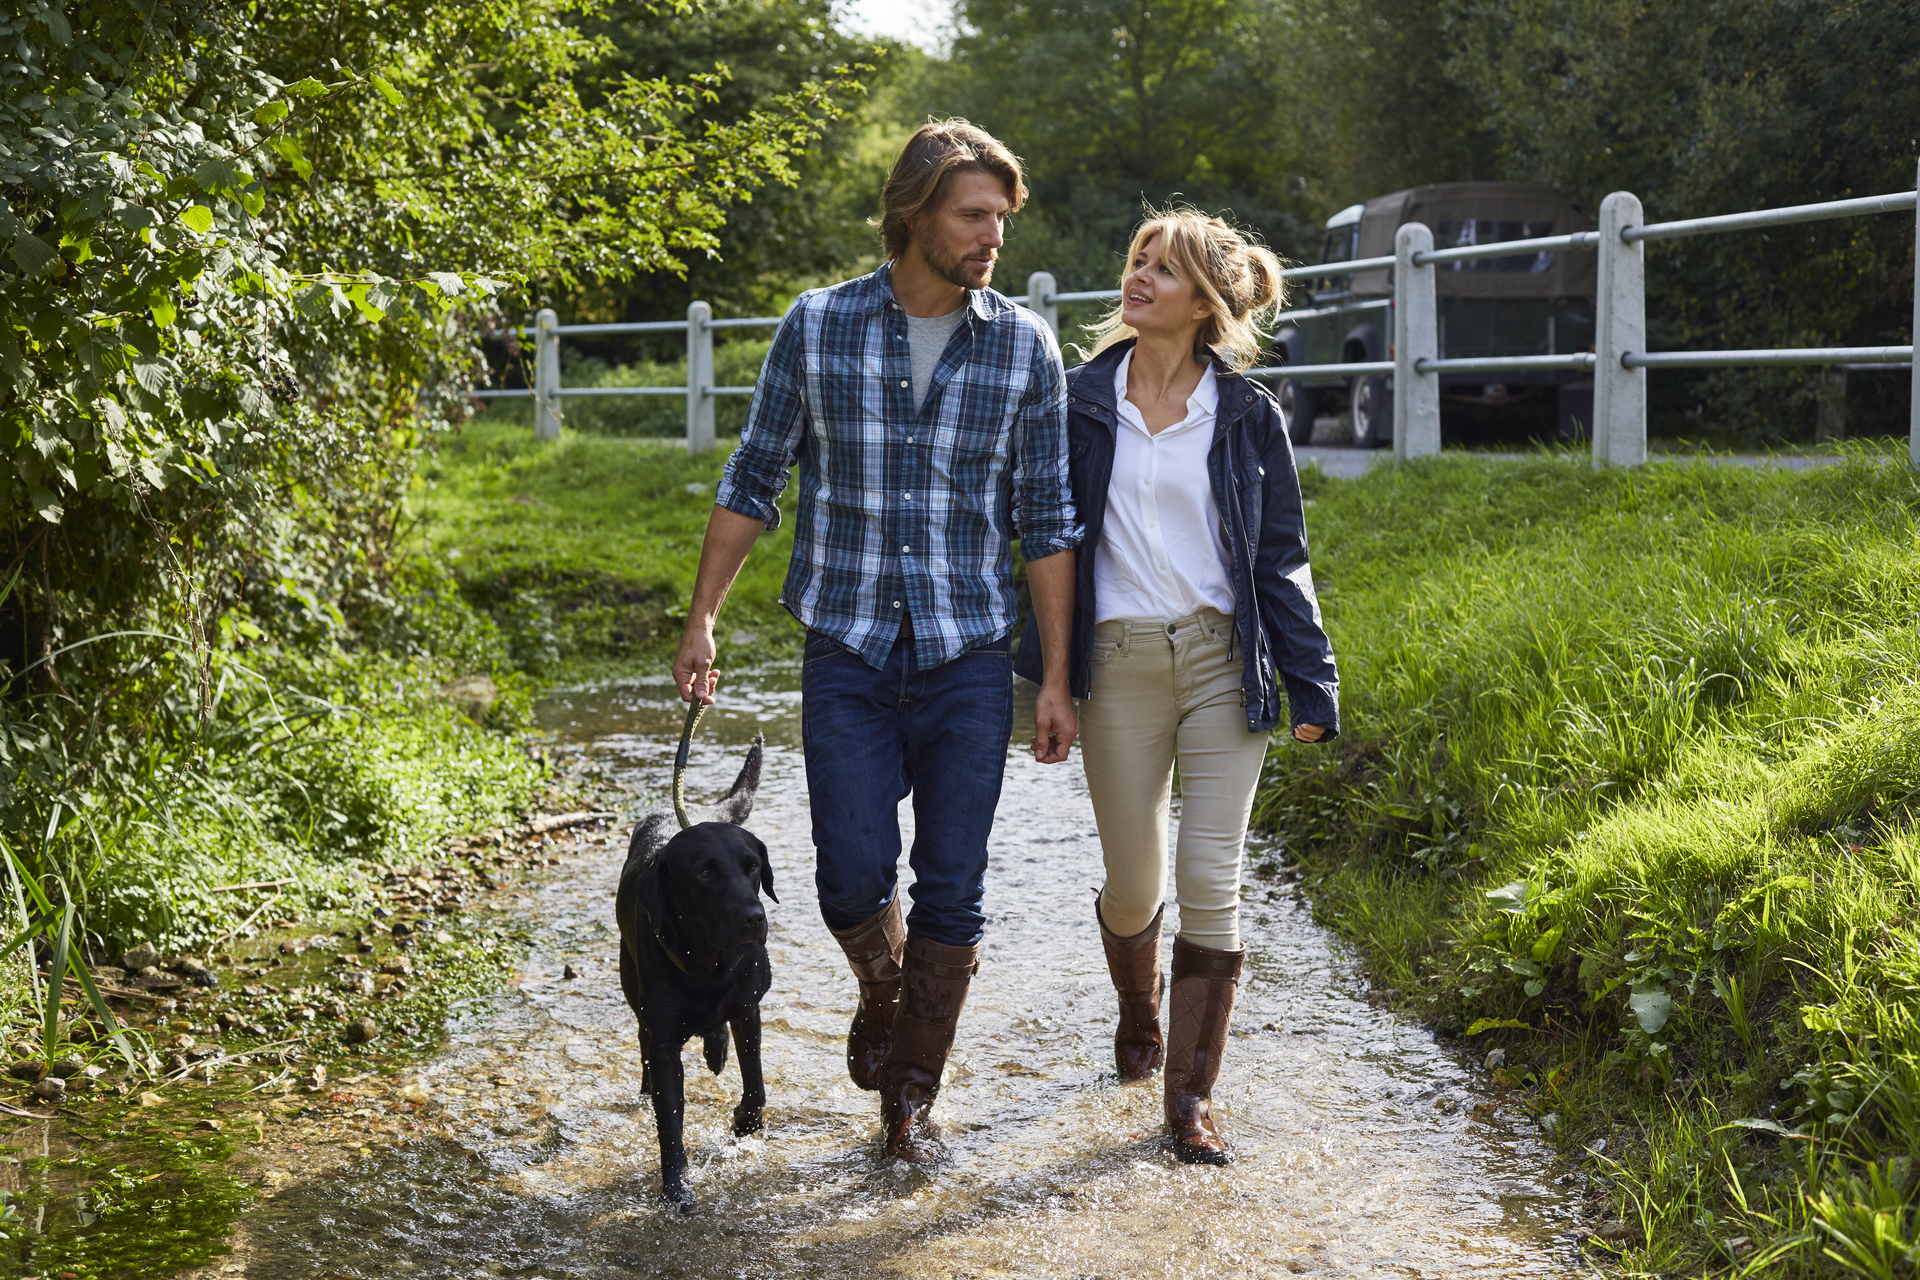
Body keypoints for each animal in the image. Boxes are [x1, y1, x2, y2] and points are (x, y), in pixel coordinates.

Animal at [610, 736, 768, 1205]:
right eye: (704, 872)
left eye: (753, 866)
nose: (755, 918)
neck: (708, 963)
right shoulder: (664, 1041)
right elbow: (669, 1121)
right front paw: (676, 1187)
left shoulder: (748, 1008)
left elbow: (756, 1087)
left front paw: (745, 1123)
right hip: (633, 985)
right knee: (642, 1038)